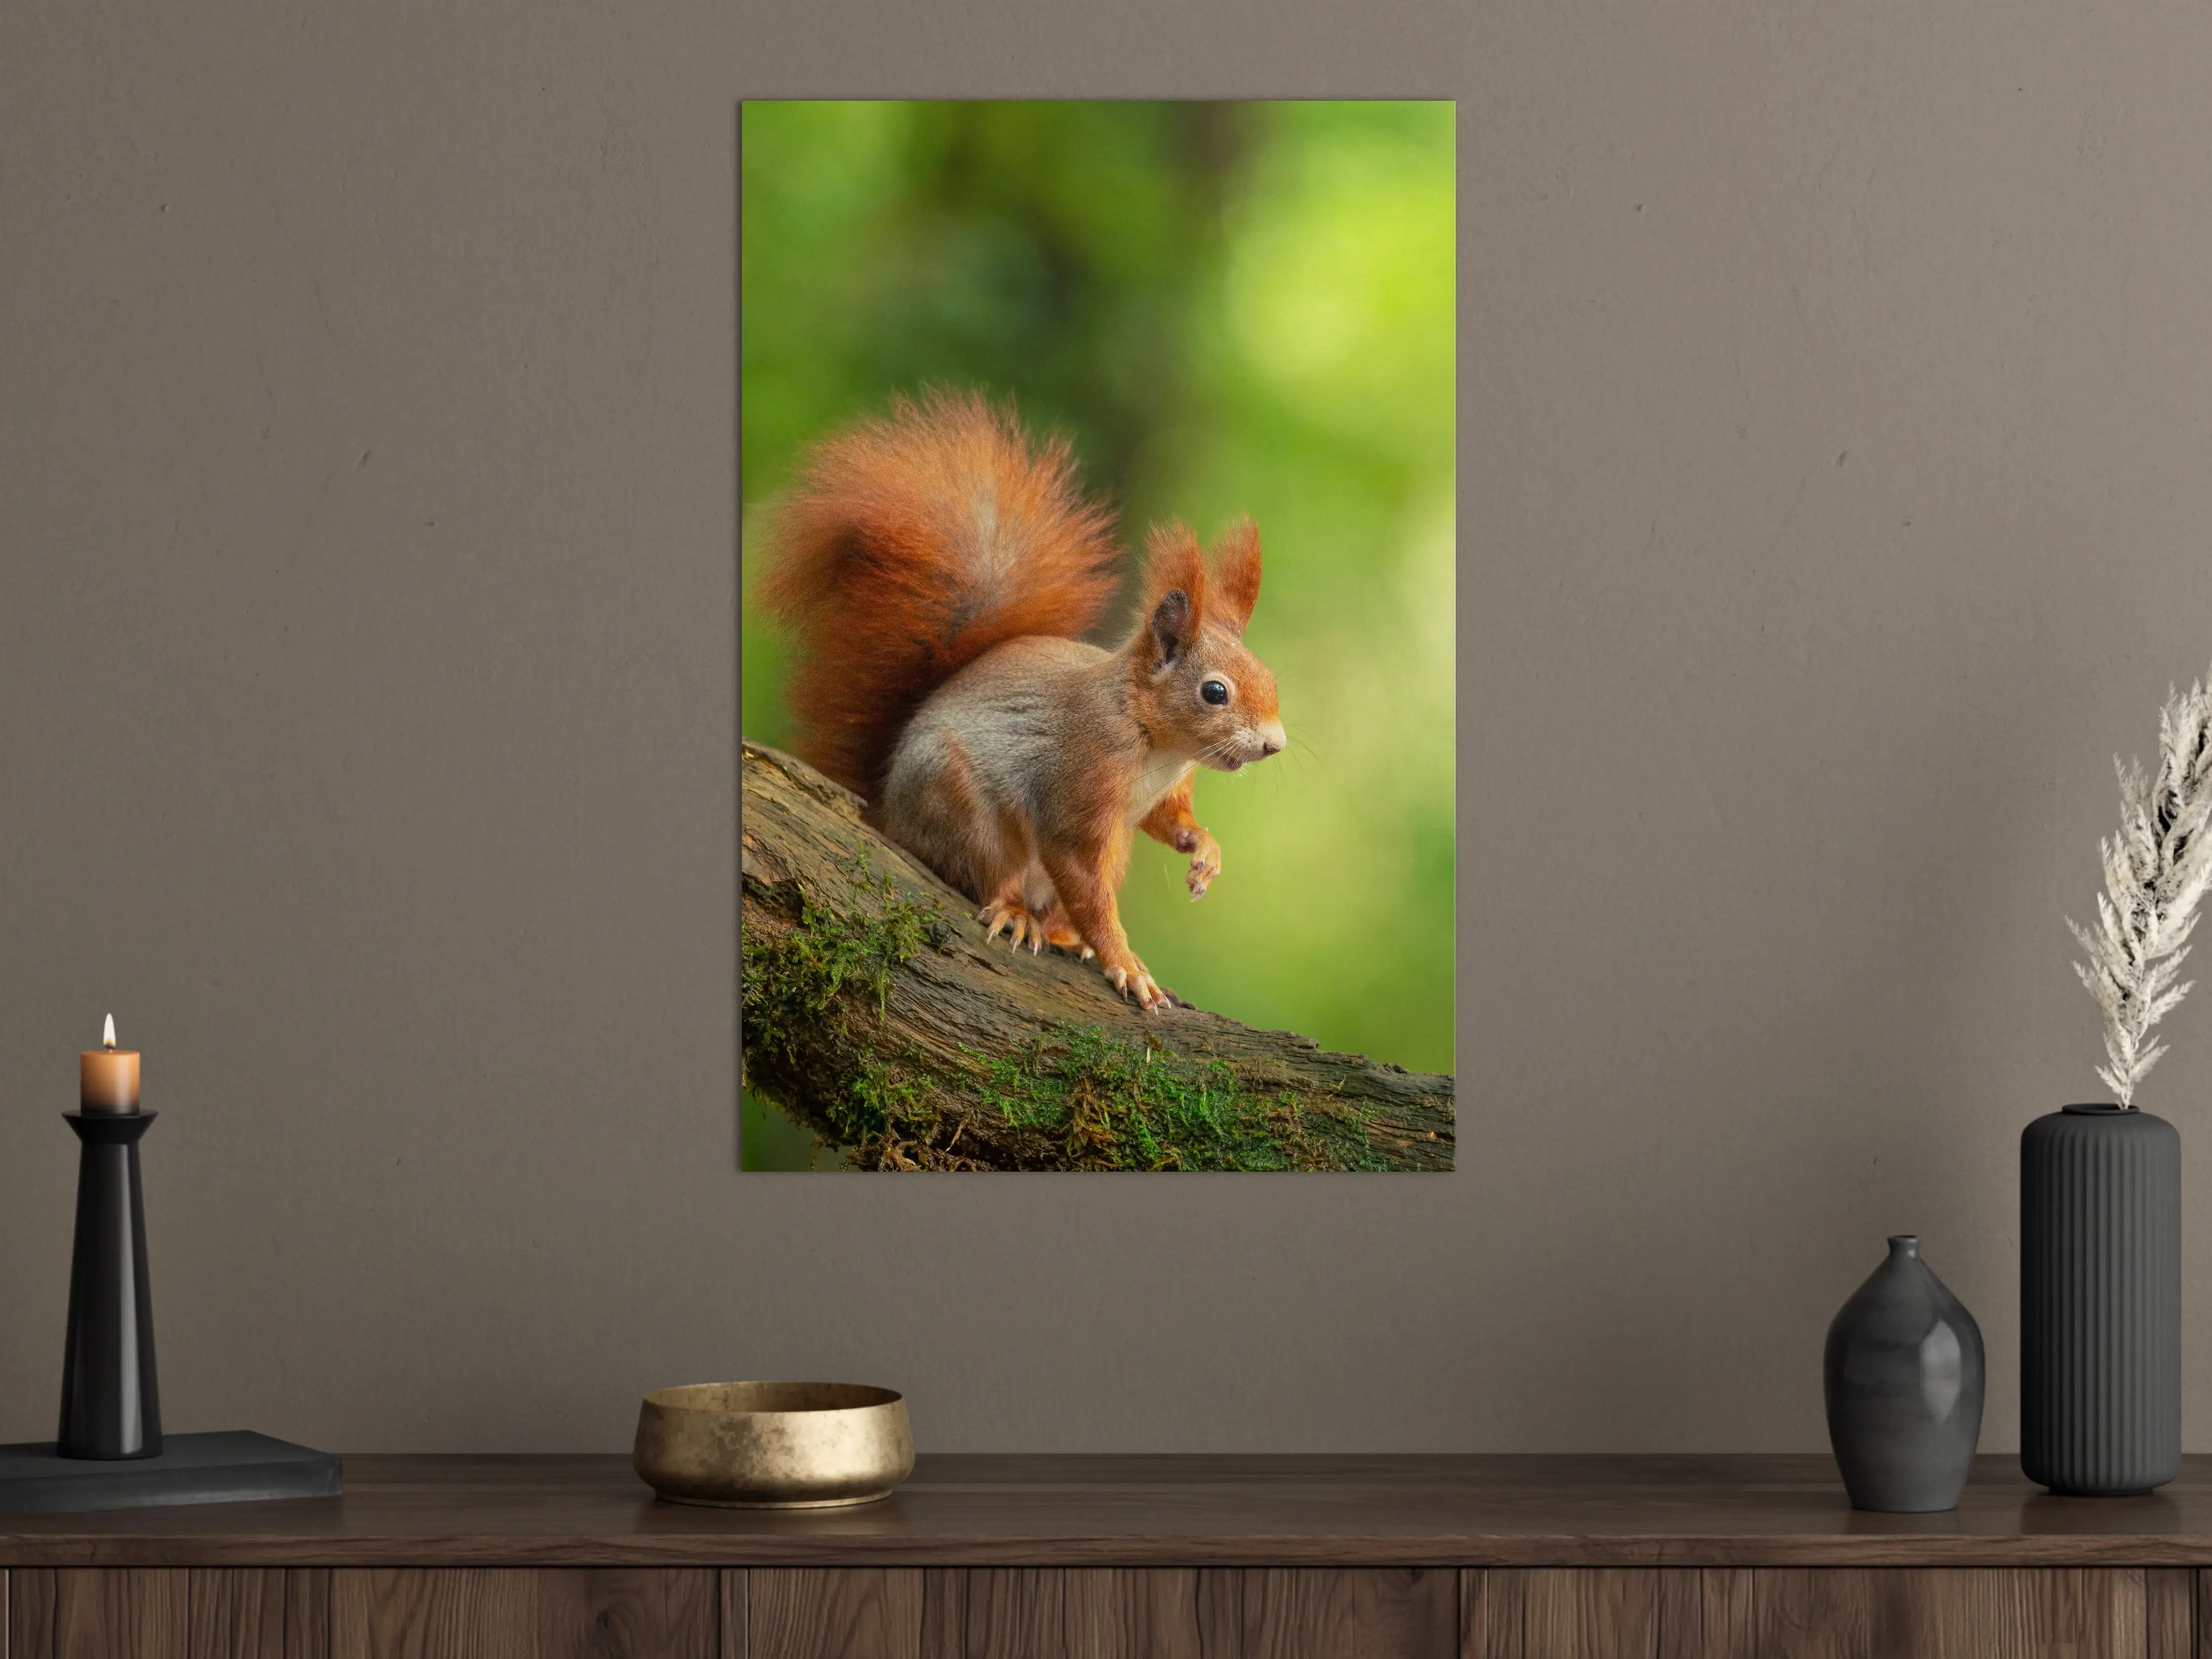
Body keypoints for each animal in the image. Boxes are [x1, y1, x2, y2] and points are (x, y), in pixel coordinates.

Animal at [757, 389, 1286, 1011]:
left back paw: (1059, 934)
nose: (1274, 744)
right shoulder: (1076, 785)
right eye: (1214, 692)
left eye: (1270, 678)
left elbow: (1167, 822)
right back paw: (1016, 914)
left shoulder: (1158, 797)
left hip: (1114, 850)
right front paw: (1124, 961)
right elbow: (1083, 881)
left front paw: (1204, 852)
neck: (1155, 745)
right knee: (988, 875)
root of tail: (884, 812)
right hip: (958, 804)